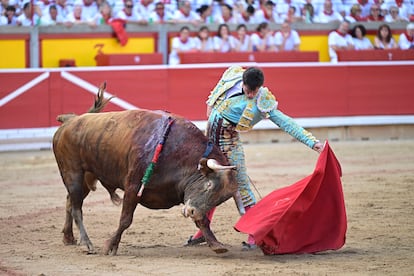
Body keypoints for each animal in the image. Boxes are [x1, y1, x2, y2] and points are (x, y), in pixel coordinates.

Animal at [52, 83, 239, 254]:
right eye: (209, 185)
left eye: (220, 199)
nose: (193, 212)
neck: (180, 153)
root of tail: (70, 121)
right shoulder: (133, 186)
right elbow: (125, 219)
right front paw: (110, 246)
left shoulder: (187, 197)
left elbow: (203, 221)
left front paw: (216, 244)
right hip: (72, 173)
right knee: (76, 207)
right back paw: (87, 243)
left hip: (86, 178)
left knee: (70, 201)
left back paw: (68, 237)